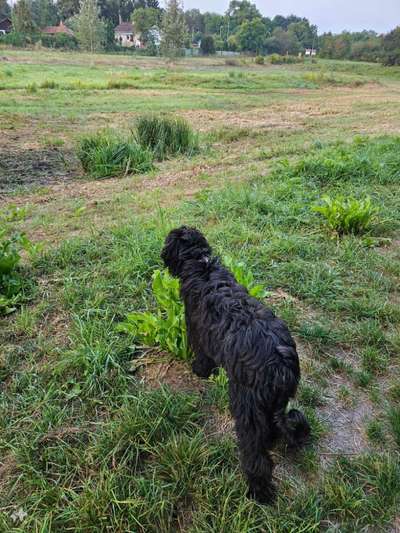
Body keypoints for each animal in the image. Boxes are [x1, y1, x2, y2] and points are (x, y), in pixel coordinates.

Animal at [161, 225, 310, 502]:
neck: (202, 264)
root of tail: (282, 367)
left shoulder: (197, 331)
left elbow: (202, 358)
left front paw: (200, 372)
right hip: (268, 407)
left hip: (246, 406)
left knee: (256, 455)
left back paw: (258, 491)